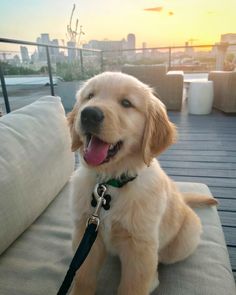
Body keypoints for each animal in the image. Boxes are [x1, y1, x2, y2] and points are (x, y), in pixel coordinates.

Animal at [67, 72, 217, 295]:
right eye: (89, 96)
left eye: (126, 103)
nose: (89, 114)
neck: (110, 184)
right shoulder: (86, 234)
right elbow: (83, 278)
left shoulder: (140, 247)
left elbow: (133, 286)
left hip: (183, 240)